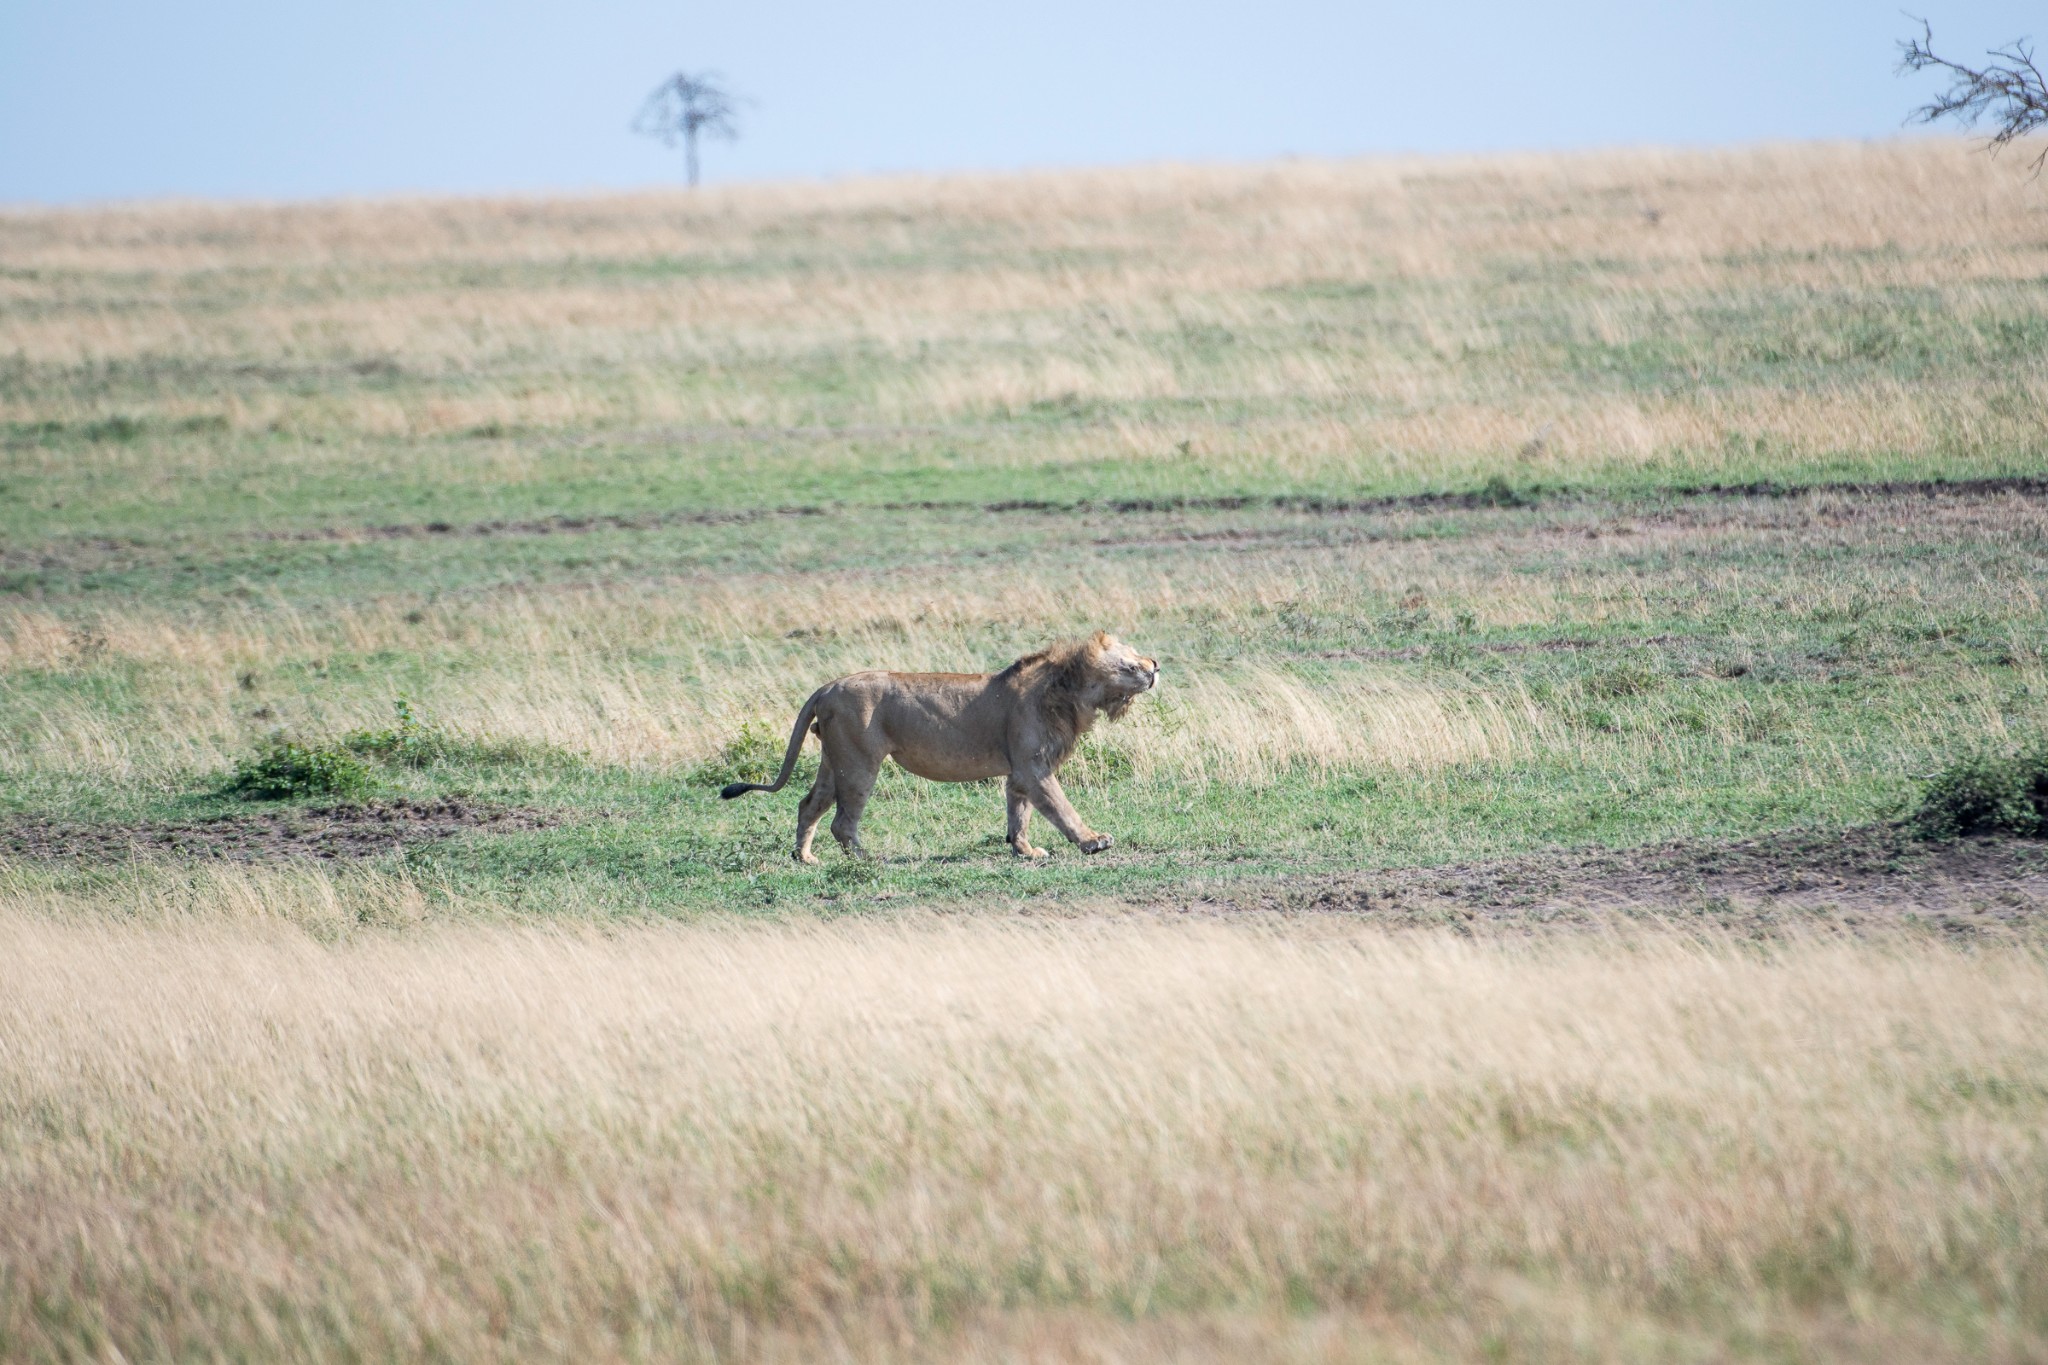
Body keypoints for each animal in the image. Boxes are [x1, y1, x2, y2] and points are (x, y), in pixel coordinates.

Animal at [729, 634, 1163, 863]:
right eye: (1129, 664)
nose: (1156, 665)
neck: (1070, 693)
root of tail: (828, 686)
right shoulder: (1034, 768)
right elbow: (1061, 807)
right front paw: (1093, 841)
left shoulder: (1019, 773)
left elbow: (1018, 813)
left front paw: (1024, 850)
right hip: (858, 762)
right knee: (841, 820)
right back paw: (868, 858)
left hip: (832, 761)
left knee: (809, 804)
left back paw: (805, 858)